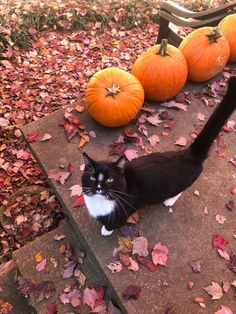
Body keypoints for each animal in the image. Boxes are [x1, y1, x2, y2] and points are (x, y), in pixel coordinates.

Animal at [81, 76, 236, 236]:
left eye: (110, 179)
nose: (99, 188)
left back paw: (169, 200)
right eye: (92, 177)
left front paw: (106, 230)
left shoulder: (122, 212)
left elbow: (113, 223)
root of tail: (188, 155)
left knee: (179, 190)